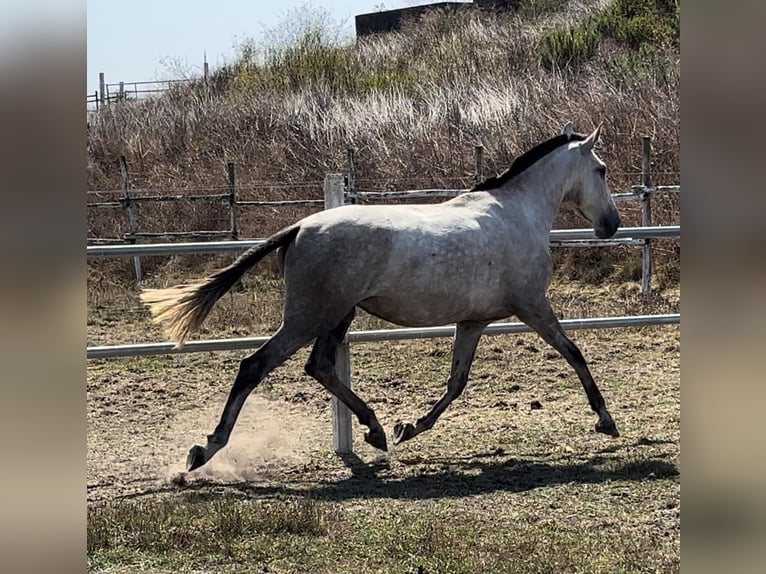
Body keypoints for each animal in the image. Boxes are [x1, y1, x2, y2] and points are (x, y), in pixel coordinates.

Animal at [141, 121, 624, 472]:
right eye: (601, 170)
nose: (612, 224)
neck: (517, 213)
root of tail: (297, 229)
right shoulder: (533, 307)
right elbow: (574, 353)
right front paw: (606, 420)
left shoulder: (474, 321)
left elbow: (456, 382)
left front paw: (409, 427)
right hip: (310, 316)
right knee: (254, 366)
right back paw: (204, 451)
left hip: (337, 316)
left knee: (319, 367)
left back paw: (374, 430)